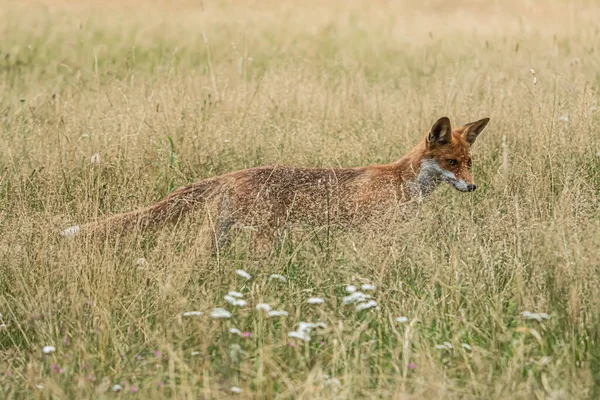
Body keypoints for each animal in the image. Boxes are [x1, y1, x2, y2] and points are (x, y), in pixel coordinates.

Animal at [61, 116, 490, 247]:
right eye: (451, 162)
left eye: (469, 164)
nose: (472, 188)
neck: (402, 180)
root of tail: (233, 173)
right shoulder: (370, 228)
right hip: (264, 234)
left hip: (219, 233)